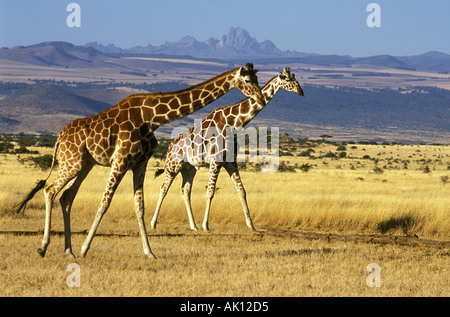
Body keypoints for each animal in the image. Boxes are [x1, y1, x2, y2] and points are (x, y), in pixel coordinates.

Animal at [14, 63, 264, 256]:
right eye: (248, 80)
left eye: (257, 78)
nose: (260, 98)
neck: (152, 117)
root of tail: (59, 138)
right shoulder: (120, 161)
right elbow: (105, 202)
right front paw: (85, 248)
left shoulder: (139, 164)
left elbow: (140, 207)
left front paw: (149, 252)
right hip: (71, 163)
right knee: (49, 190)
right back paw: (44, 247)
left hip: (84, 165)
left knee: (66, 197)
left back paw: (68, 250)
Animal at [150, 67, 302, 230]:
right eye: (288, 79)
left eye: (295, 77)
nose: (301, 91)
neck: (234, 123)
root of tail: (170, 147)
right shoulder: (215, 162)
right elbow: (210, 192)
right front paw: (206, 225)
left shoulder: (230, 162)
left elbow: (242, 191)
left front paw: (251, 225)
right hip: (173, 165)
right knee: (163, 188)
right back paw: (153, 223)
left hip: (189, 168)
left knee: (185, 191)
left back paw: (193, 226)